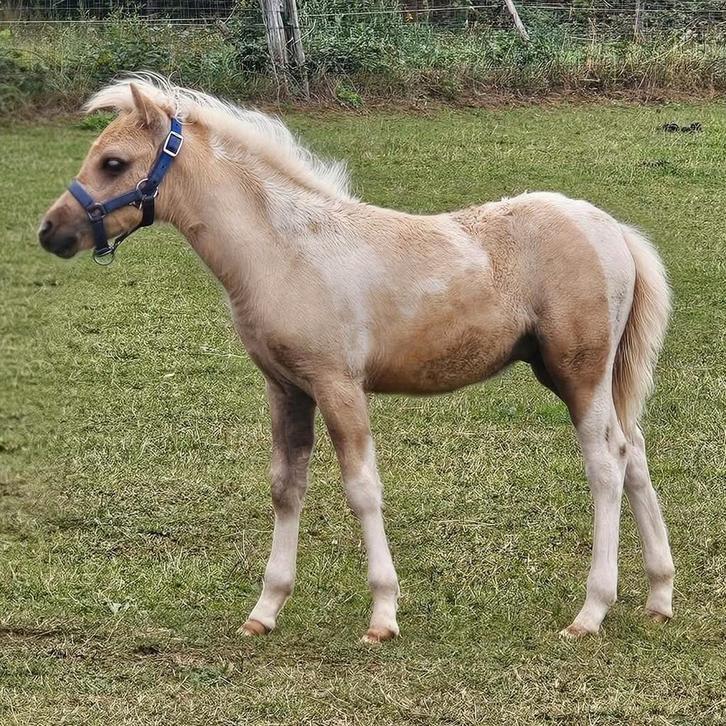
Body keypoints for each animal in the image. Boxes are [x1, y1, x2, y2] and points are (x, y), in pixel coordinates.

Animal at [38, 75, 674, 643]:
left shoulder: (337, 384)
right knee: (635, 451)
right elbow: (286, 486)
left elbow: (362, 488)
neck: (288, 250)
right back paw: (659, 596)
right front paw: (264, 610)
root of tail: (611, 229)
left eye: (114, 163)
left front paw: (383, 616)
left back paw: (591, 611)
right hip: (585, 376)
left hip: (579, 373)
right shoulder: (286, 388)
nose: (51, 232)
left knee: (606, 463)